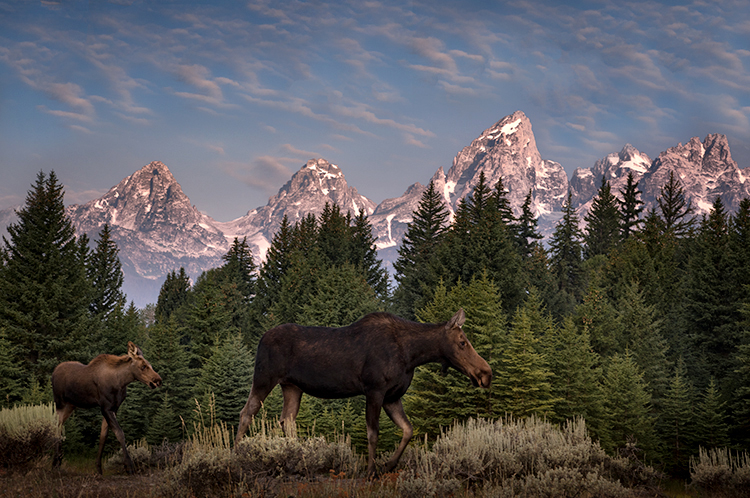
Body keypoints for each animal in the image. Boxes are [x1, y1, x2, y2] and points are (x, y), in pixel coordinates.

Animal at [50, 342, 162, 474]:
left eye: (150, 365)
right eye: (143, 366)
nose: (158, 380)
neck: (121, 382)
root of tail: (53, 374)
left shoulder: (114, 408)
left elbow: (103, 437)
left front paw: (98, 468)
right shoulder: (106, 407)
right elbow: (119, 433)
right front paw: (129, 466)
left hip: (70, 406)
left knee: (60, 427)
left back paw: (58, 461)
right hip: (60, 404)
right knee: (56, 427)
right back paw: (55, 463)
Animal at [236, 310, 494, 476]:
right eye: (462, 342)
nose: (486, 373)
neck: (412, 355)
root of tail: (261, 338)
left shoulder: (392, 396)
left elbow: (408, 430)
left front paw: (388, 465)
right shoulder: (374, 390)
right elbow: (373, 434)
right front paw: (370, 470)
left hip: (292, 386)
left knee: (286, 419)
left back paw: (300, 459)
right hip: (264, 377)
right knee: (247, 411)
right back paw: (236, 454)